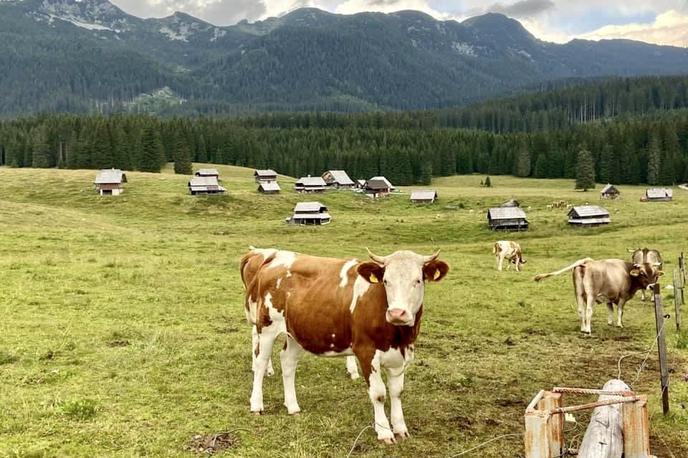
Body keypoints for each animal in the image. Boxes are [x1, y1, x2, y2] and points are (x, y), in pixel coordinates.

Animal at [239, 247, 448, 444]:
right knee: (260, 362)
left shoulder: (400, 356)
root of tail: (275, 256)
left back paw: (292, 406)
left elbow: (397, 392)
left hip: (297, 331)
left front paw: (400, 428)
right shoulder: (366, 352)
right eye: (386, 281)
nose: (397, 313)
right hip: (267, 326)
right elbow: (379, 393)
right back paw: (256, 404)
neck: (399, 336)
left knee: (288, 362)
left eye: (418, 281)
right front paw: (384, 432)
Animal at [532, 258, 660, 332]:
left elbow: (610, 310)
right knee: (588, 310)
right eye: (642, 273)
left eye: (655, 274)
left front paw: (610, 322)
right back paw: (588, 330)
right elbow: (619, 311)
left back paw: (583, 328)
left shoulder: (608, 297)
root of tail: (586, 262)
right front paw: (619, 324)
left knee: (581, 310)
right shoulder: (622, 296)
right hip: (591, 294)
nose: (652, 286)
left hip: (578, 293)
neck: (626, 272)